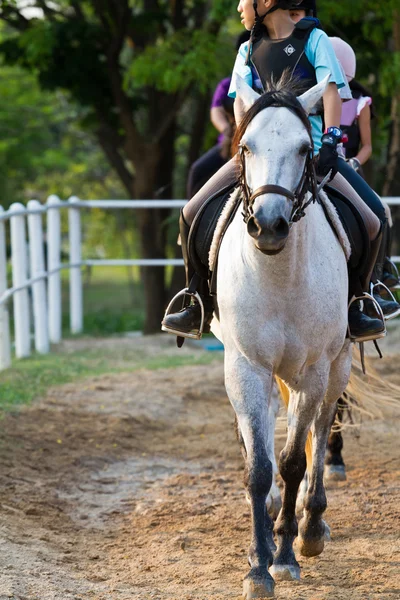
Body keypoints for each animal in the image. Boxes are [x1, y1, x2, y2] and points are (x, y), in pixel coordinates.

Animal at [211, 76, 352, 600]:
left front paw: (287, 555)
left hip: (337, 365)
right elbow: (258, 466)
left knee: (321, 428)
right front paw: (257, 565)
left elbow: (293, 460)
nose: (268, 225)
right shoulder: (245, 365)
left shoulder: (312, 370)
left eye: (304, 148)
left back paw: (311, 526)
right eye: (246, 147)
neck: (278, 272)